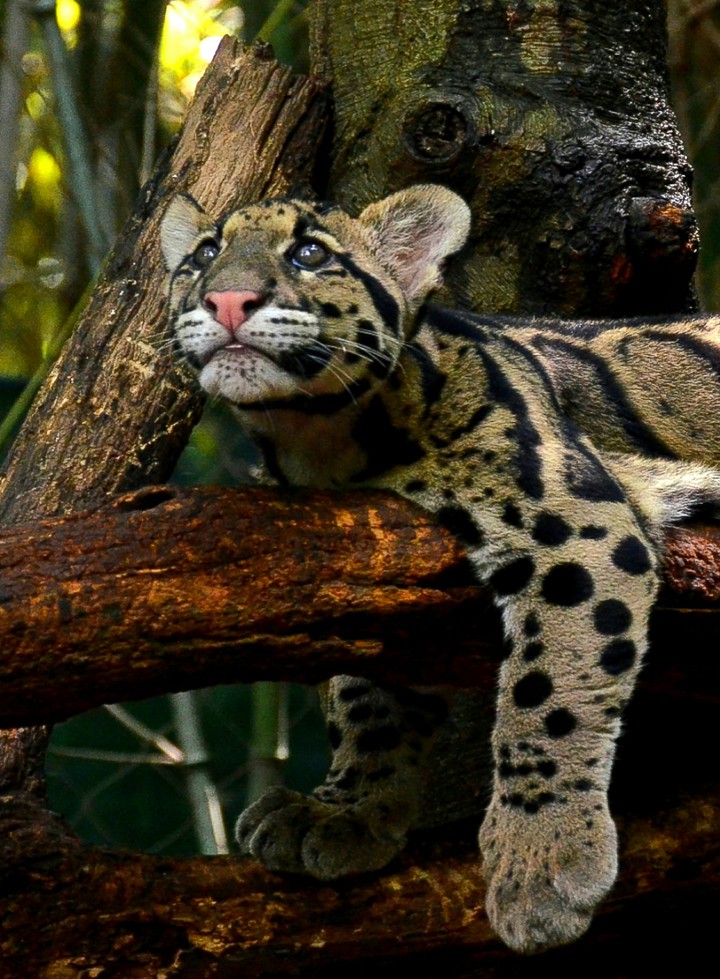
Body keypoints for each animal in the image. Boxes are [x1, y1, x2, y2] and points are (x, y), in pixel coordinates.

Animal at [160, 184, 720, 953]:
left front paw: (543, 856)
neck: (326, 444)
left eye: (310, 254)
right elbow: (362, 696)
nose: (228, 299)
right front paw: (347, 808)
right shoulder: (364, 567)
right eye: (203, 256)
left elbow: (550, 688)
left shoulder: (579, 521)